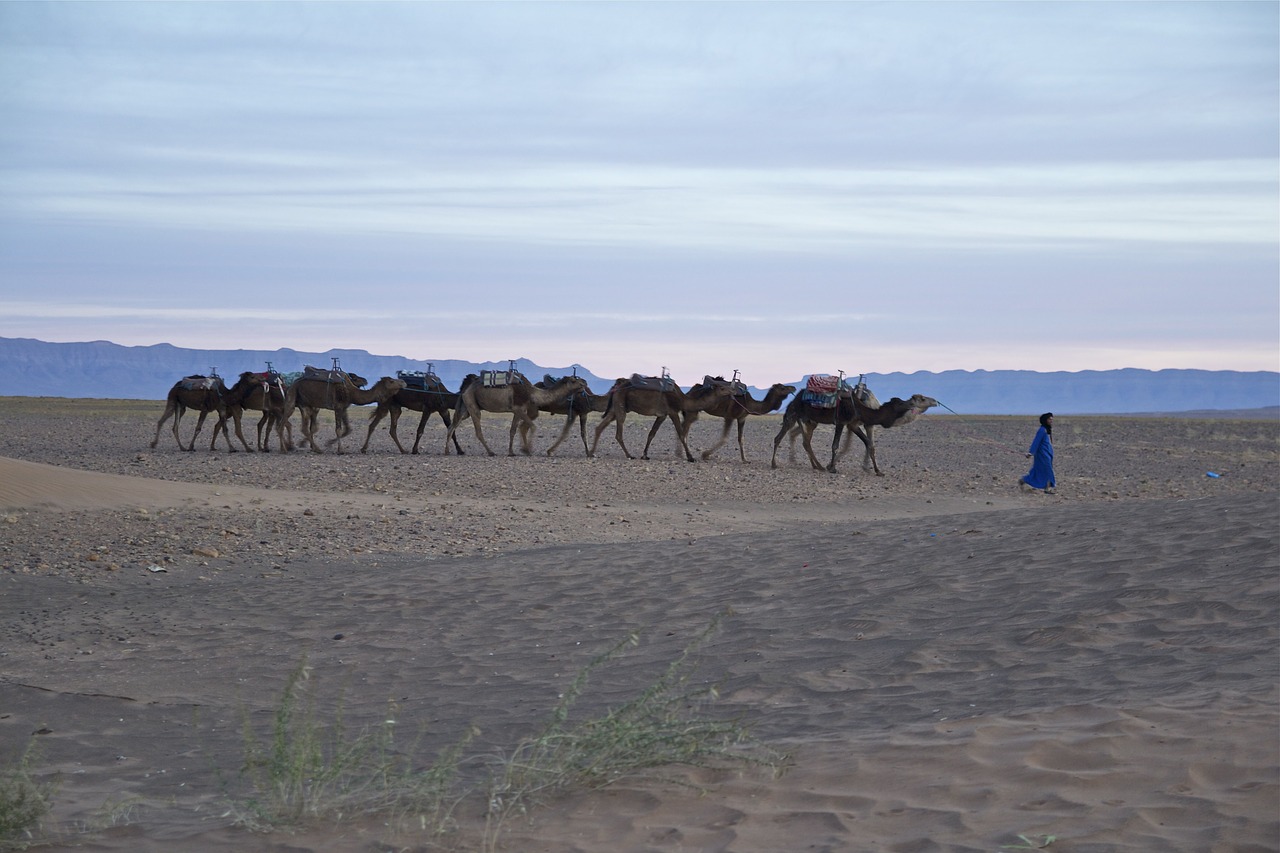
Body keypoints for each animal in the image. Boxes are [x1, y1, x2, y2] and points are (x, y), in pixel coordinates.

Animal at [445, 368, 588, 455]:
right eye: (574, 380)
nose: (584, 383)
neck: (531, 392)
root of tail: (465, 388)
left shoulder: (518, 411)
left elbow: (513, 430)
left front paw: (512, 452)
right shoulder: (519, 408)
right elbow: (533, 426)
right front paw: (527, 449)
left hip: (466, 408)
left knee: (452, 426)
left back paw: (447, 451)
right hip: (472, 404)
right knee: (478, 430)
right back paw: (490, 452)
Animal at [586, 376, 737, 461]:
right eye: (722, 388)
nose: (733, 390)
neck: (682, 399)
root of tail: (615, 388)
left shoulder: (662, 415)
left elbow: (652, 433)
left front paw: (645, 455)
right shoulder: (672, 411)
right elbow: (681, 434)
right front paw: (690, 457)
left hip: (615, 408)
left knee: (600, 427)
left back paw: (591, 453)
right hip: (621, 405)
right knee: (618, 433)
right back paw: (629, 455)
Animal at [768, 389, 942, 473]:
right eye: (921, 399)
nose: (935, 401)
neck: (861, 407)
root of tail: (795, 398)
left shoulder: (853, 424)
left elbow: (869, 444)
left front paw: (878, 471)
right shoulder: (842, 421)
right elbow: (835, 445)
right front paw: (833, 468)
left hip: (810, 420)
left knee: (806, 442)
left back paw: (817, 466)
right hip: (795, 414)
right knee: (781, 437)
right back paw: (775, 464)